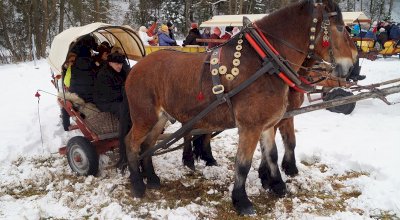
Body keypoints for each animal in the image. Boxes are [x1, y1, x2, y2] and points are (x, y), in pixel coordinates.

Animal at [122, 0, 356, 215]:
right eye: (340, 28)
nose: (353, 64)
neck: (265, 62)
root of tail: (136, 67)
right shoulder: (250, 126)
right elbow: (243, 163)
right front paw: (241, 200)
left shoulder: (267, 125)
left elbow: (271, 154)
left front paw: (278, 185)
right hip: (144, 116)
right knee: (131, 143)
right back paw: (138, 184)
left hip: (160, 117)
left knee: (148, 145)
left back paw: (152, 178)